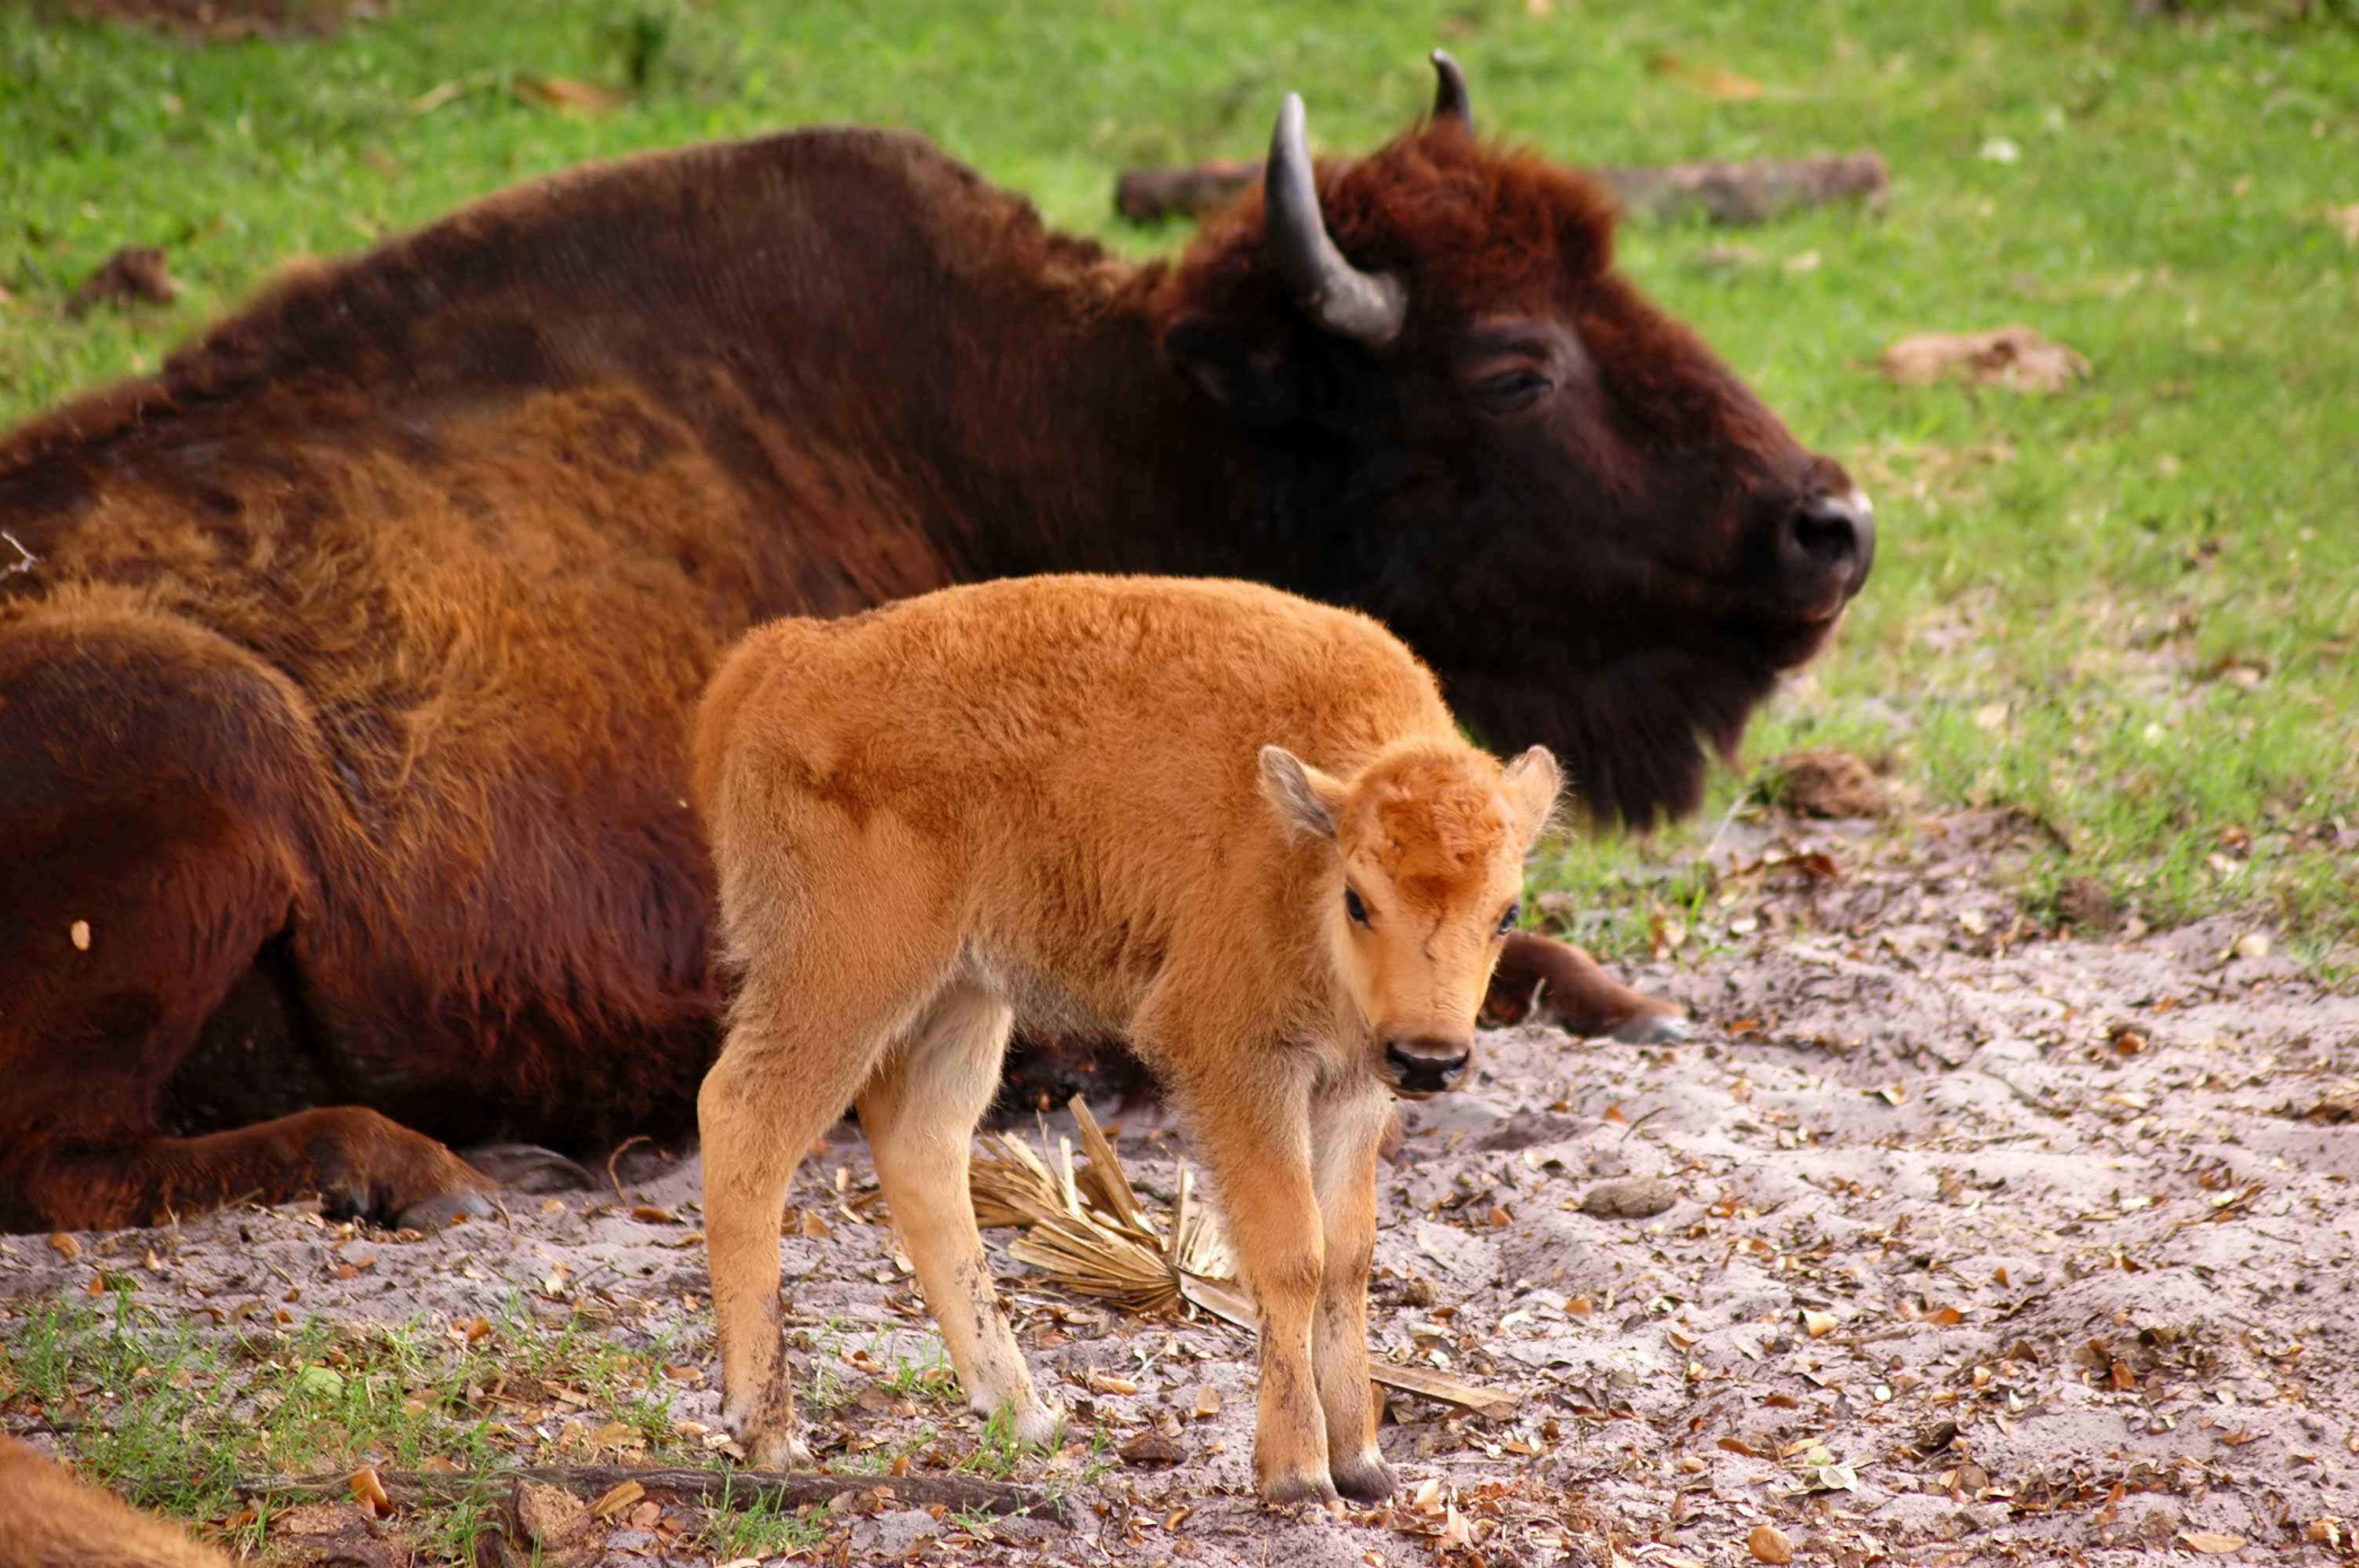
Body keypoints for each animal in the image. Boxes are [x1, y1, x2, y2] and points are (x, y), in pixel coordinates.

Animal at [4, 58, 1877, 1235]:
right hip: (207, 739)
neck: (1077, 430)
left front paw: (1634, 1007)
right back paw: (416, 1169)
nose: (1828, 523)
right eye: (1512, 366)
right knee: (56, 1153)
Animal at [689, 568, 1557, 1499]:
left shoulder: (1354, 1086)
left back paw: (1023, 1411)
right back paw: (769, 1431)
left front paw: (1363, 1461)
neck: (1304, 844)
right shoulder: (1235, 1059)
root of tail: (779, 661)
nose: (1429, 1058)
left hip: (965, 992)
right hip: (843, 977)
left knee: (921, 1142)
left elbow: (1349, 1258)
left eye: (1507, 912)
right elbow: (1292, 1251)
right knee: (744, 1120)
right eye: (1360, 900)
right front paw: (1296, 1472)